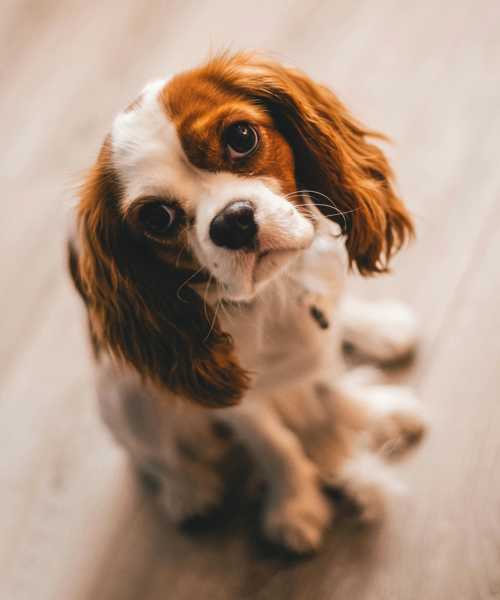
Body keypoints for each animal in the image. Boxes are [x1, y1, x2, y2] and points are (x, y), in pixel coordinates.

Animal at [68, 51, 428, 552]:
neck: (274, 296)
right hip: (124, 395)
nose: (232, 221)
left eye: (241, 137)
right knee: (154, 455)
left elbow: (332, 387)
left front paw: (363, 416)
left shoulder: (320, 344)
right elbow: (276, 445)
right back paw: (189, 489)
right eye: (157, 217)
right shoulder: (238, 403)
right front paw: (295, 506)